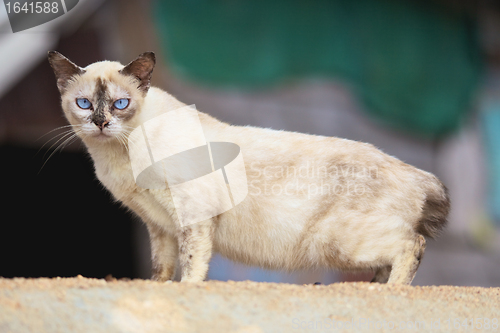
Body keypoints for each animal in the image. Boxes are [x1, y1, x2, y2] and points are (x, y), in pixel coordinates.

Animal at [48, 50, 452, 284]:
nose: (101, 123)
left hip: (335, 242)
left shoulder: (192, 219)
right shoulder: (159, 227)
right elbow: (160, 272)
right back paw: (372, 293)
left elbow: (191, 268)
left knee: (411, 245)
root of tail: (417, 172)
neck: (120, 156)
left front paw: (185, 294)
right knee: (391, 260)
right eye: (84, 104)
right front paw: (159, 294)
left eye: (120, 104)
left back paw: (391, 295)